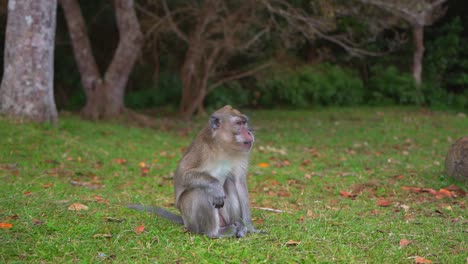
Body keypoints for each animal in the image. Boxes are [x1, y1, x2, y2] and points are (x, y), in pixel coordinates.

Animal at [128, 105, 260, 239]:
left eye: (245, 122)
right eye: (239, 123)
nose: (249, 132)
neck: (223, 146)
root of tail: (184, 220)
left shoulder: (241, 154)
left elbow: (239, 182)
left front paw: (249, 227)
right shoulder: (201, 151)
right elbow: (182, 174)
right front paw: (215, 185)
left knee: (230, 183)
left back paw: (238, 225)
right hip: (191, 219)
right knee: (200, 192)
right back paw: (215, 232)